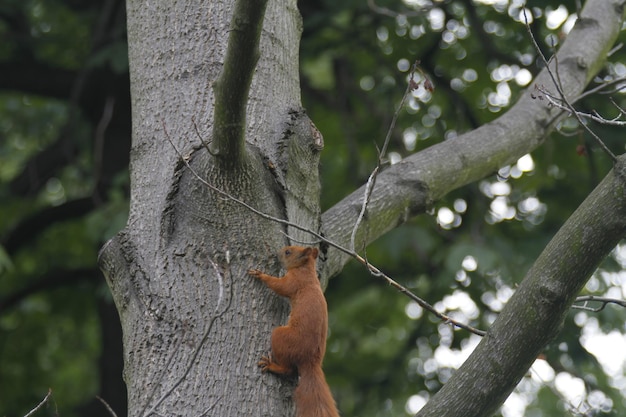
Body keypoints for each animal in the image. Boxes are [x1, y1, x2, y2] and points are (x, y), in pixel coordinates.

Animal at [247, 245, 336, 414]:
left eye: (288, 252)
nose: (276, 252)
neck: (306, 269)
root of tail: (311, 360)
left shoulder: (294, 281)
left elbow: (280, 286)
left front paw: (260, 275)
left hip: (282, 337)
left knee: (287, 369)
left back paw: (272, 365)